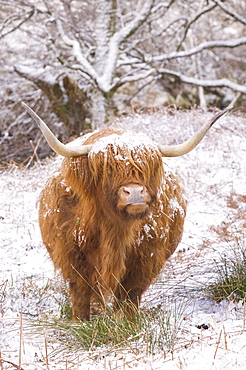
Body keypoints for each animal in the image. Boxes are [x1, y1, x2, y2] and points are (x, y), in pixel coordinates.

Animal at [22, 102, 232, 320]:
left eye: (147, 167)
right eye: (106, 169)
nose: (135, 192)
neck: (113, 232)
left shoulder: (144, 260)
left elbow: (130, 296)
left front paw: (128, 323)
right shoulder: (72, 258)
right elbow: (80, 295)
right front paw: (80, 322)